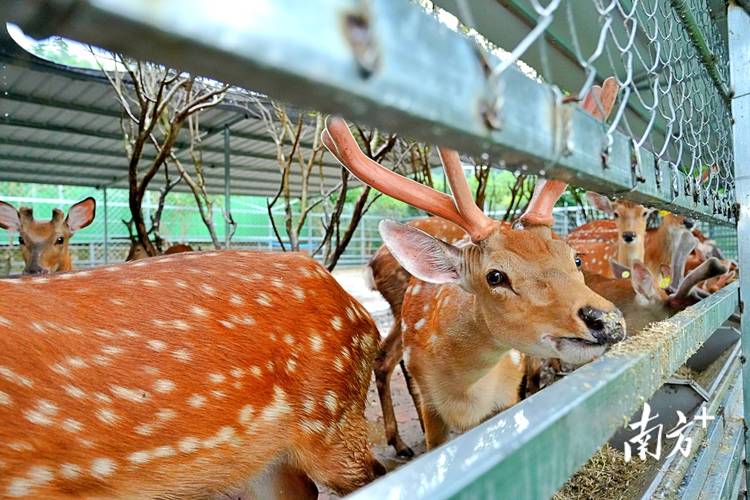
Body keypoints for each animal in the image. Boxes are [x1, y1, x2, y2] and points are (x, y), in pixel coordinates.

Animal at [321, 78, 627, 451]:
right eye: (495, 276)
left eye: (575, 258)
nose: (606, 320)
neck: (465, 394)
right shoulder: (432, 408)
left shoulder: (508, 395)